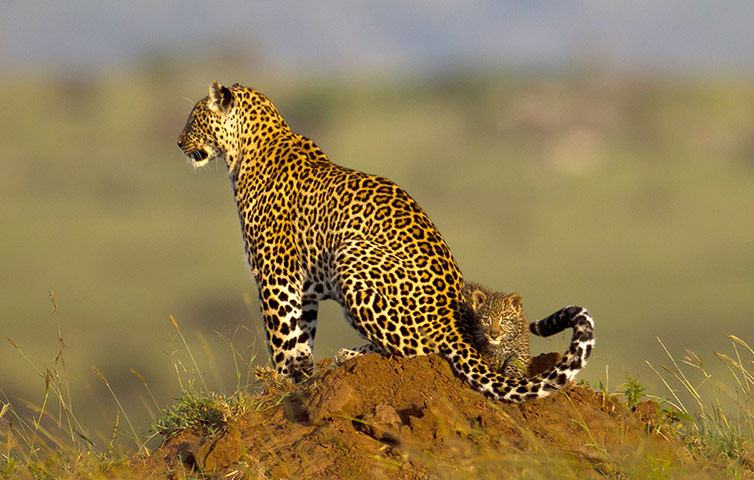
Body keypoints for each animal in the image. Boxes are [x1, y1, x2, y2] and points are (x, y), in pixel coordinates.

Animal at [177, 81, 595, 402]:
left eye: (194, 117)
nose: (178, 141)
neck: (246, 149)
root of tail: (452, 319)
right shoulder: (303, 287)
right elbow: (300, 337)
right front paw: (303, 376)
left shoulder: (275, 276)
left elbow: (281, 336)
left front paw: (280, 385)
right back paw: (347, 355)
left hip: (350, 256)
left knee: (418, 350)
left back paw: (353, 355)